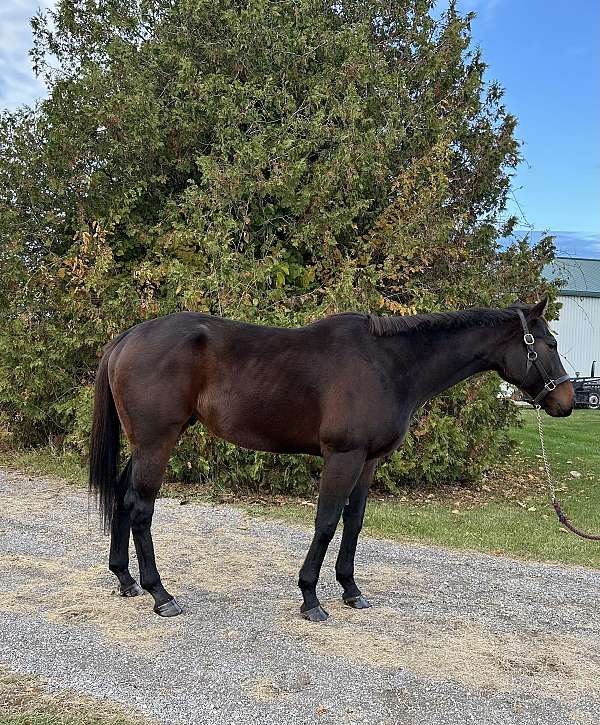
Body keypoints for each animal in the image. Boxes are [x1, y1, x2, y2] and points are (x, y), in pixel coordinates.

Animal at [88, 296, 572, 620]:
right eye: (547, 344)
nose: (566, 401)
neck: (389, 365)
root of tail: (126, 338)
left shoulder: (369, 460)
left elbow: (353, 522)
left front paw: (351, 590)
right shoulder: (343, 457)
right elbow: (326, 521)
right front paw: (310, 598)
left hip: (146, 442)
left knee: (123, 495)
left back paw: (125, 580)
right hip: (157, 441)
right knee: (141, 507)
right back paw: (160, 594)